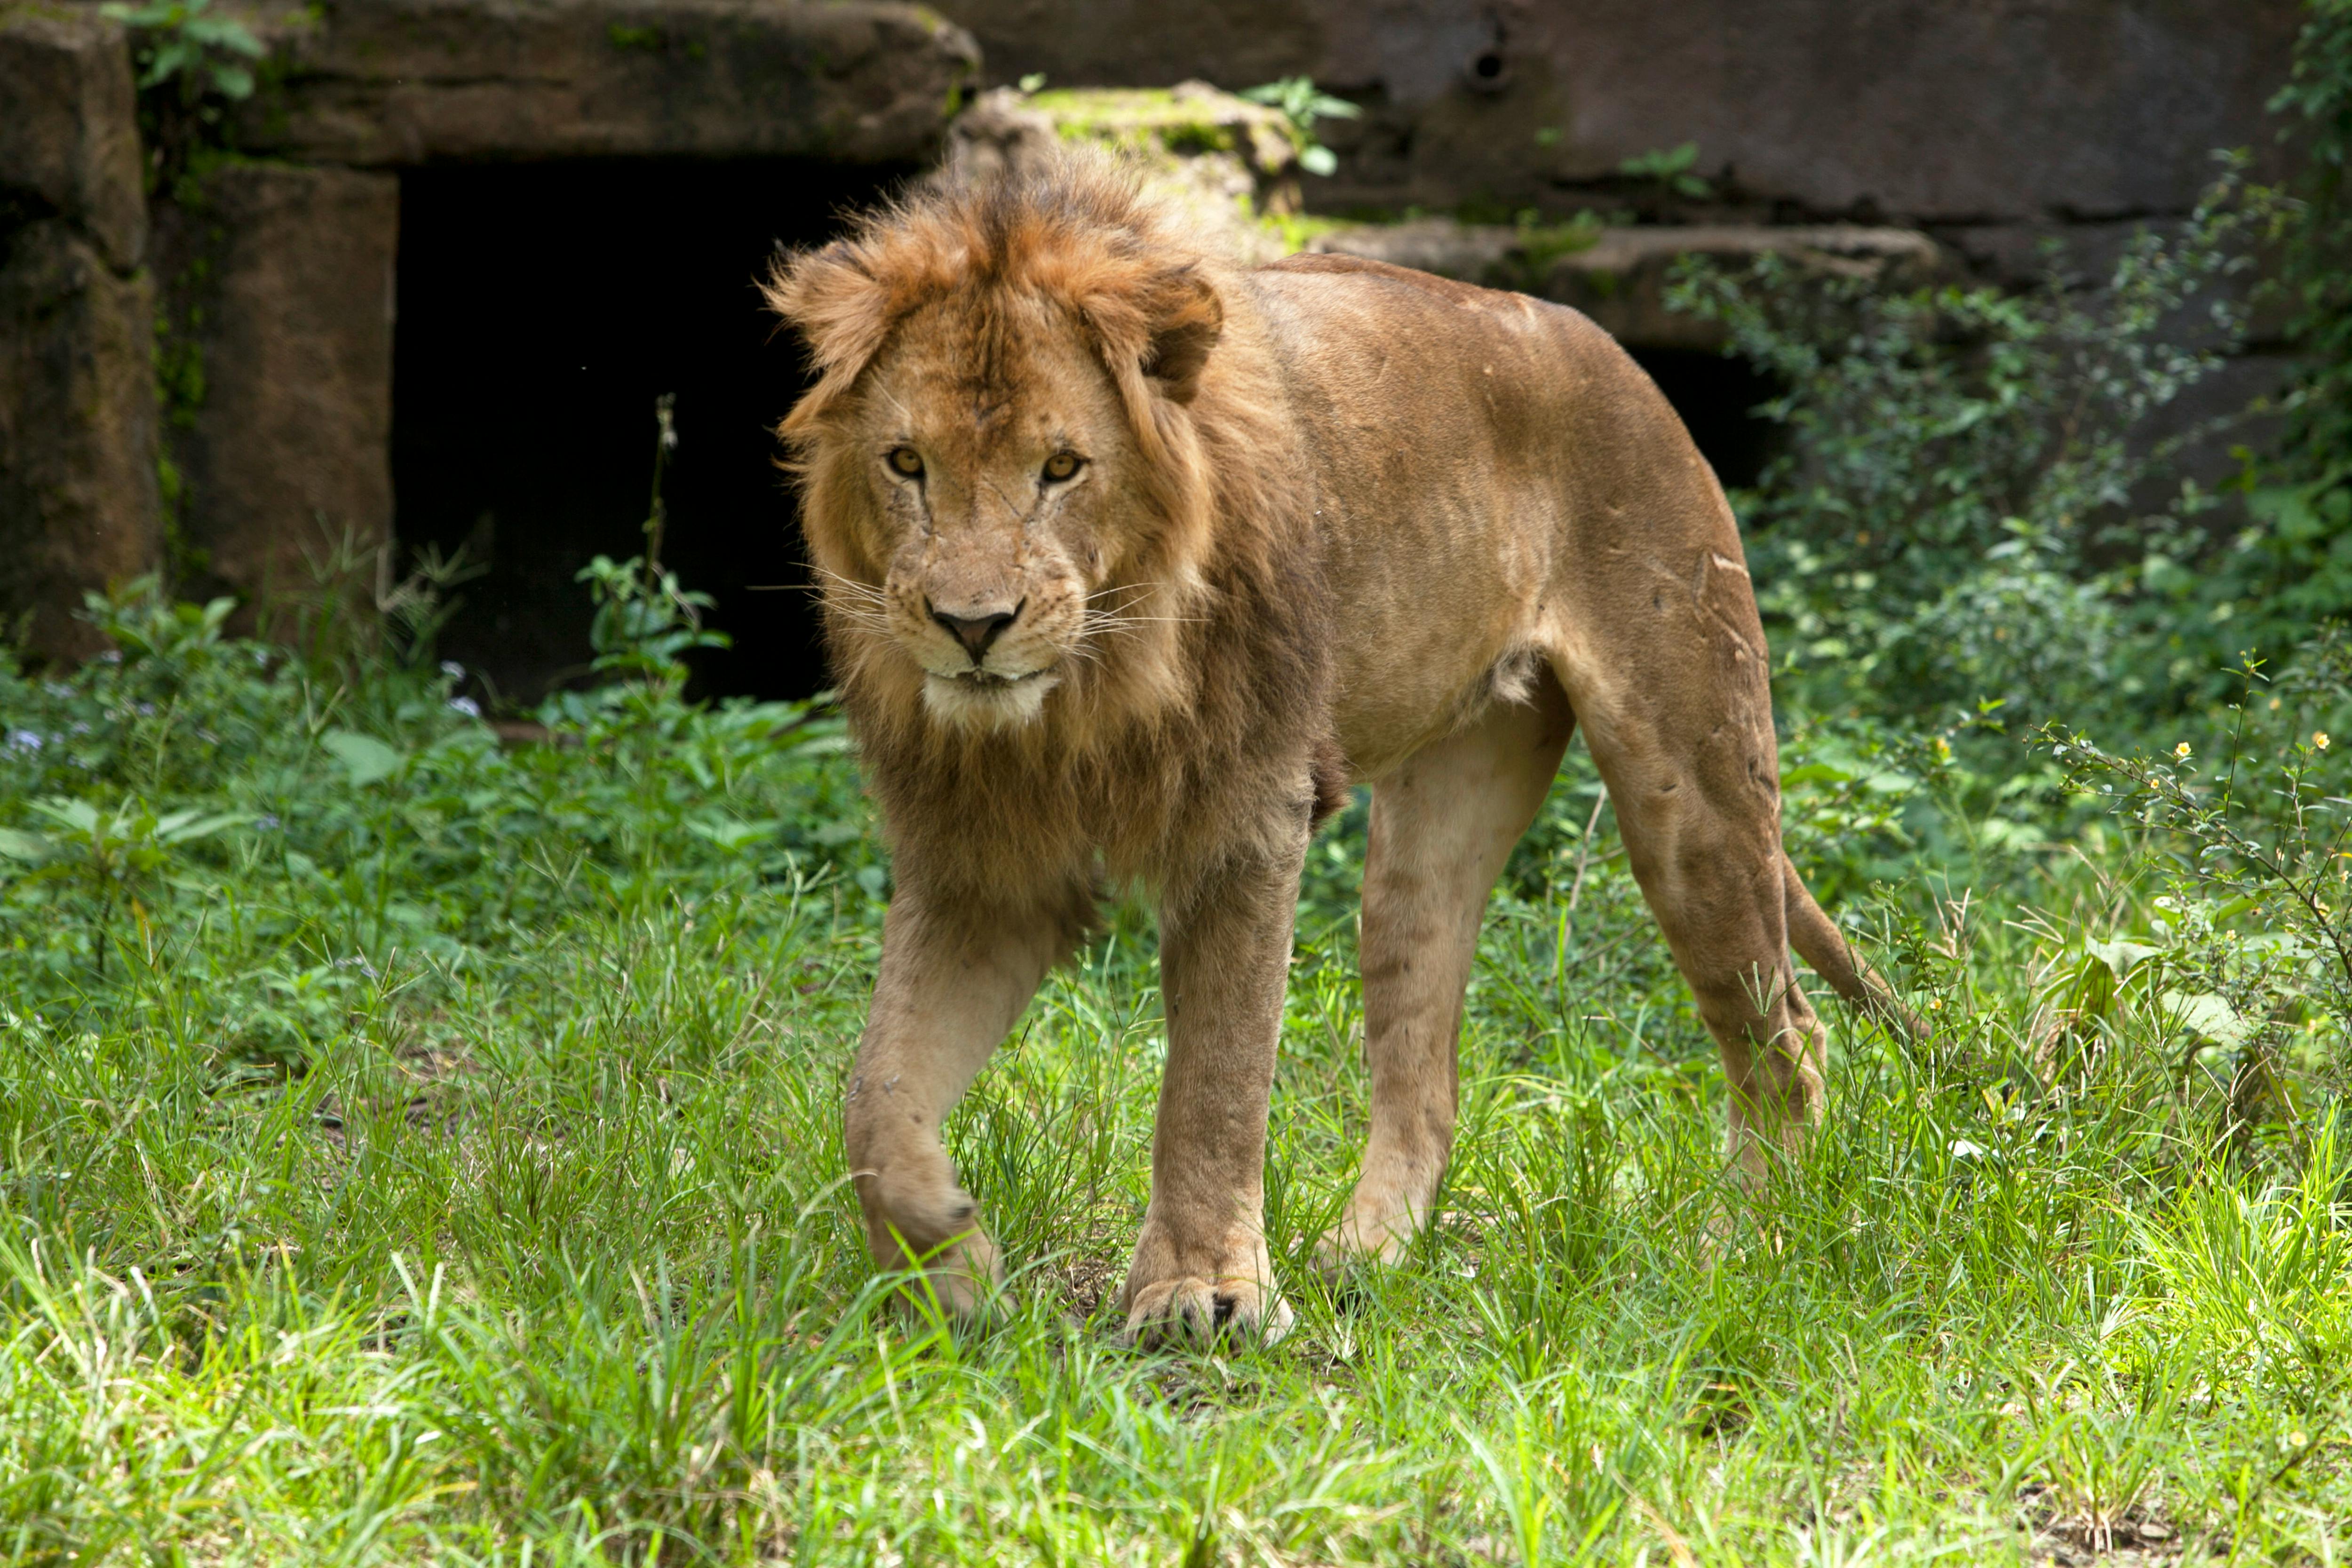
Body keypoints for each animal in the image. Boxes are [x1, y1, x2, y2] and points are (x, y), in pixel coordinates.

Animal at [765, 158, 1903, 1347]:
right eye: (906, 463)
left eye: (1062, 467)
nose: (971, 625)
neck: (1079, 702)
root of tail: (1612, 352)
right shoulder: (981, 868)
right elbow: (874, 1094)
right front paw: (943, 1263)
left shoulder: (1247, 815)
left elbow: (1215, 1081)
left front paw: (1203, 1294)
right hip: (1432, 827)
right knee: (1426, 1076)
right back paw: (1365, 1259)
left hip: (1690, 783)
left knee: (1788, 1041)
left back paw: (1748, 1247)